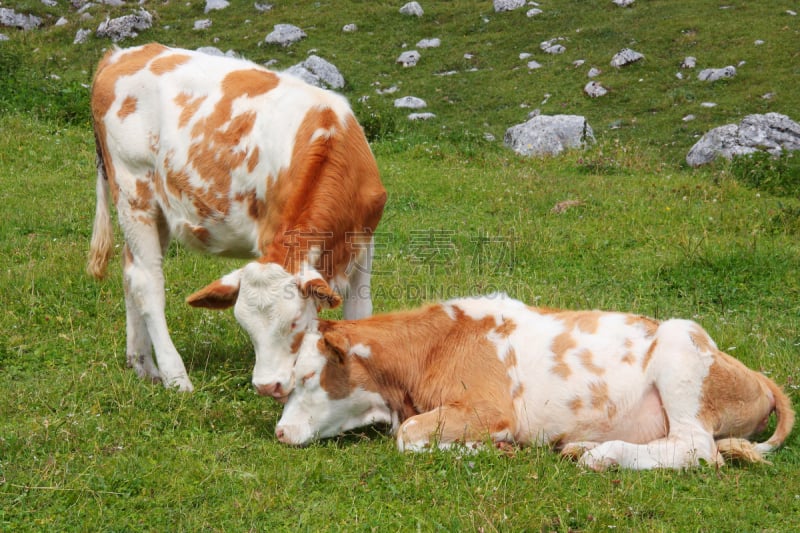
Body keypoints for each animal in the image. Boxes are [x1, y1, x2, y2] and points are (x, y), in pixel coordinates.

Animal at [87, 43, 388, 392]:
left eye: (294, 323)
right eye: (245, 325)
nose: (267, 385)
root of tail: (119, 54)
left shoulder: (364, 240)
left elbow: (360, 309)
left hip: (157, 209)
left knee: (130, 269)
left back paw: (142, 363)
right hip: (133, 190)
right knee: (147, 281)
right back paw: (175, 375)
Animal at [276, 290, 792, 470]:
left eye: (309, 376)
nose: (279, 432)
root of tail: (753, 373)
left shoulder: (489, 408)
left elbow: (407, 436)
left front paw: (496, 448)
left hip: (681, 350)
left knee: (697, 450)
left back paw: (602, 456)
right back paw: (582, 447)